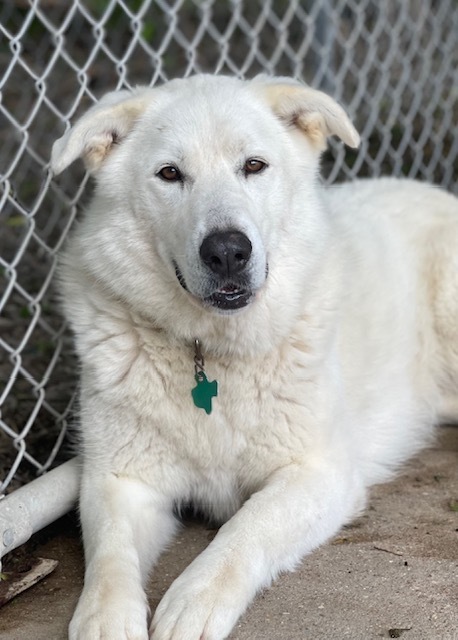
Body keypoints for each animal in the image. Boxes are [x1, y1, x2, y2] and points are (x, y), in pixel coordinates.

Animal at [51, 76, 458, 640]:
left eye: (254, 165)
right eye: (170, 173)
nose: (227, 251)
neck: (210, 349)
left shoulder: (318, 472)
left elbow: (246, 527)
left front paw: (195, 599)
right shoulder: (118, 480)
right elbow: (109, 558)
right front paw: (105, 620)